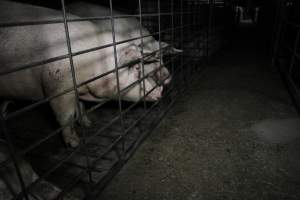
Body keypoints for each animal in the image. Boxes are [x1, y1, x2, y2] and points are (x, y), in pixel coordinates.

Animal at [0, 0, 163, 148]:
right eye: (136, 69)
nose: (160, 91)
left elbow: (80, 105)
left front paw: (88, 123)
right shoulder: (57, 86)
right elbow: (66, 116)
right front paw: (74, 143)